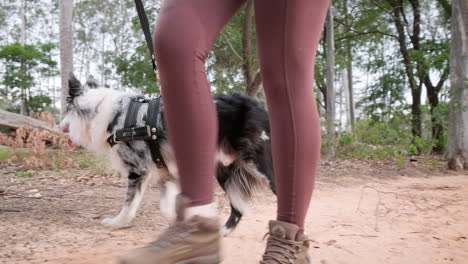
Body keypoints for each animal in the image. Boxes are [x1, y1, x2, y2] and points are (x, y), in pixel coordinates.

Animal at [59, 72, 276, 235]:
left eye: (67, 111)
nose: (59, 126)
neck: (108, 112)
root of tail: (258, 106)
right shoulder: (164, 171)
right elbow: (166, 207)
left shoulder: (138, 169)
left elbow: (129, 204)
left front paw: (117, 222)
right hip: (225, 171)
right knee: (237, 208)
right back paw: (221, 232)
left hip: (260, 166)